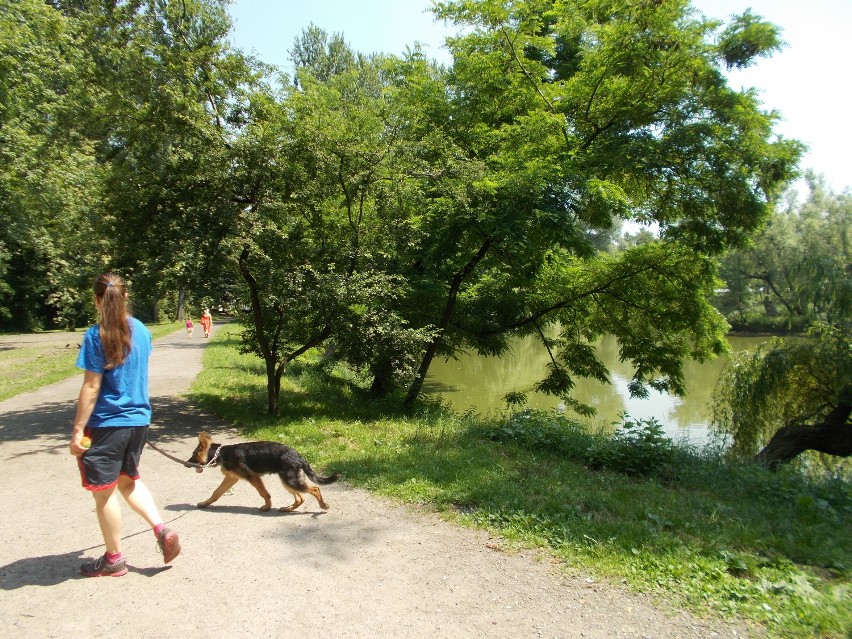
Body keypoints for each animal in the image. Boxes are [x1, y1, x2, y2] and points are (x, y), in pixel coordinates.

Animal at [189, 432, 340, 512]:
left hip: (290, 481)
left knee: (315, 489)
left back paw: (323, 505)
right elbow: (216, 492)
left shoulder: (253, 477)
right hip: (287, 481)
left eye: (193, 455)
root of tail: (299, 456)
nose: (187, 463)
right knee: (301, 497)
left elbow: (264, 493)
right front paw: (205, 503)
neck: (221, 454)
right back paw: (288, 508)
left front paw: (267, 506)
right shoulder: (231, 478)